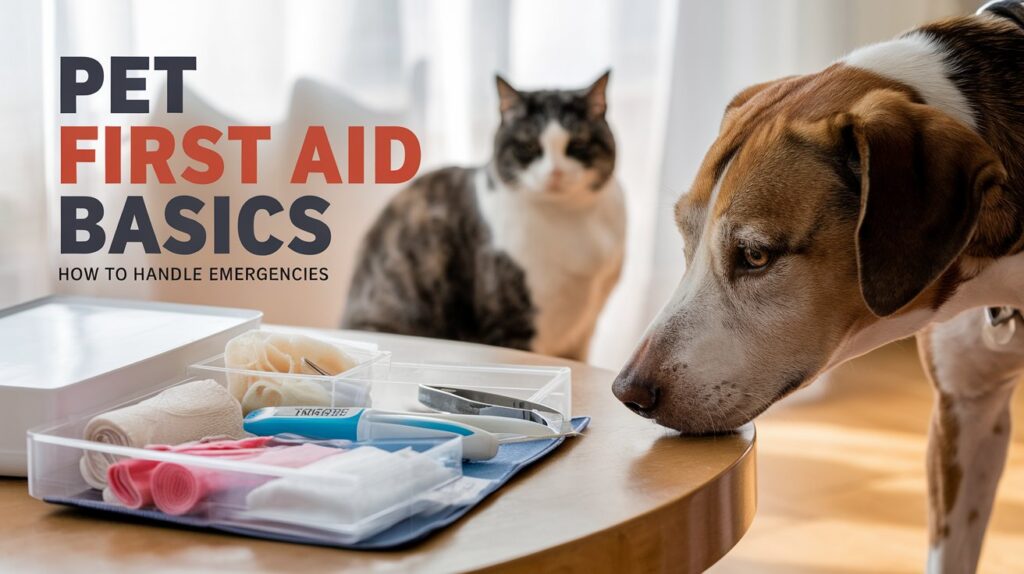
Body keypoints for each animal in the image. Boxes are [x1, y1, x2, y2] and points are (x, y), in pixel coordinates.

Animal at [344, 71, 622, 358]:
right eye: (528, 147)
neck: (572, 216)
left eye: (578, 144)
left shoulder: (583, 334)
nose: (555, 173)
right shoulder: (510, 321)